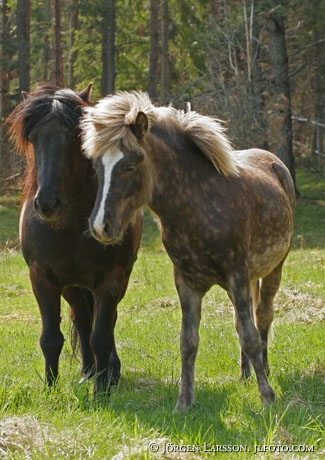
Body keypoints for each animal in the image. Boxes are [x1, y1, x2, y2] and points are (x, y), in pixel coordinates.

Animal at [7, 84, 142, 394]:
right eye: (33, 138)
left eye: (73, 137)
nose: (47, 204)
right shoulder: (42, 278)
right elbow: (51, 337)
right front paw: (50, 387)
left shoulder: (112, 279)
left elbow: (102, 336)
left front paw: (103, 390)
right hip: (72, 286)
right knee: (81, 318)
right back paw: (88, 371)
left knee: (106, 322)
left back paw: (109, 372)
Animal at [79, 91, 294, 412]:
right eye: (96, 167)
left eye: (130, 165)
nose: (100, 226)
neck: (199, 206)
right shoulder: (187, 283)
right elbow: (188, 341)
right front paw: (184, 403)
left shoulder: (236, 276)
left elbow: (250, 336)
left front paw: (267, 397)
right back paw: (245, 375)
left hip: (273, 270)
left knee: (263, 316)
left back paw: (263, 371)